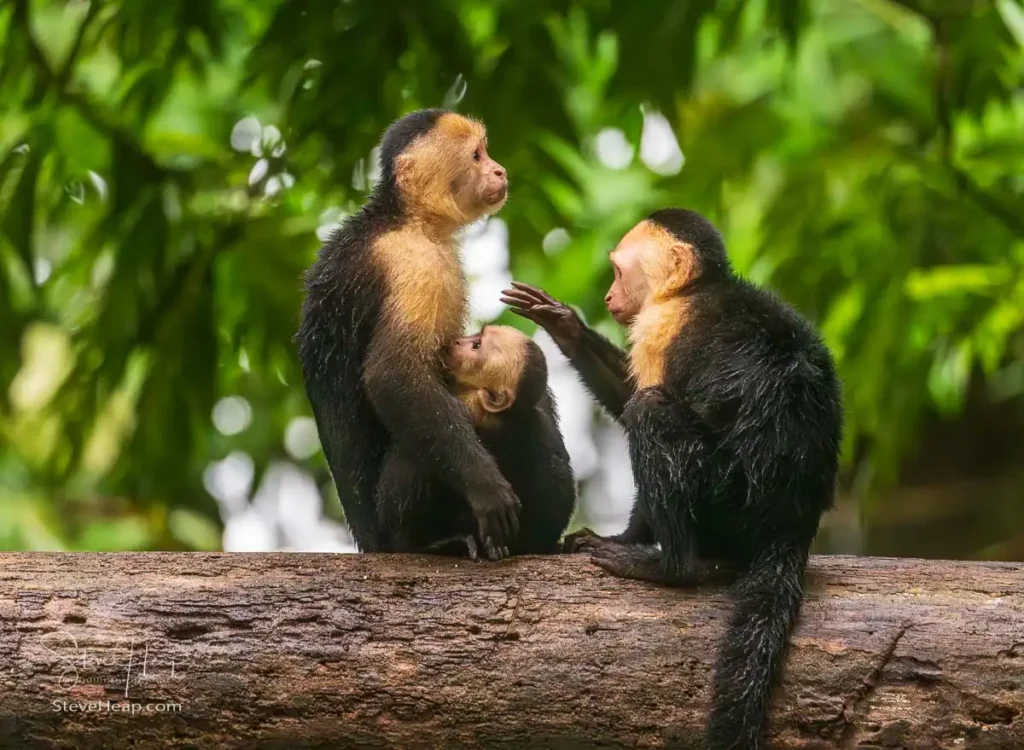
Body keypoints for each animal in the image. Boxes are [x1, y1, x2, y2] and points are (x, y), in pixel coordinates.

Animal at [296, 108, 521, 562]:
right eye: (477, 156)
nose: (499, 170)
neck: (405, 219)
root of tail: (369, 542)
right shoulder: (416, 267)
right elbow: (393, 376)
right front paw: (487, 487)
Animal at [502, 209, 843, 750]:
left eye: (617, 273)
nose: (608, 298)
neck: (695, 289)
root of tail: (793, 521)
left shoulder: (662, 326)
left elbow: (640, 401)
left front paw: (626, 541)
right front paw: (565, 324)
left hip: (731, 498)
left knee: (652, 413)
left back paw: (669, 565)